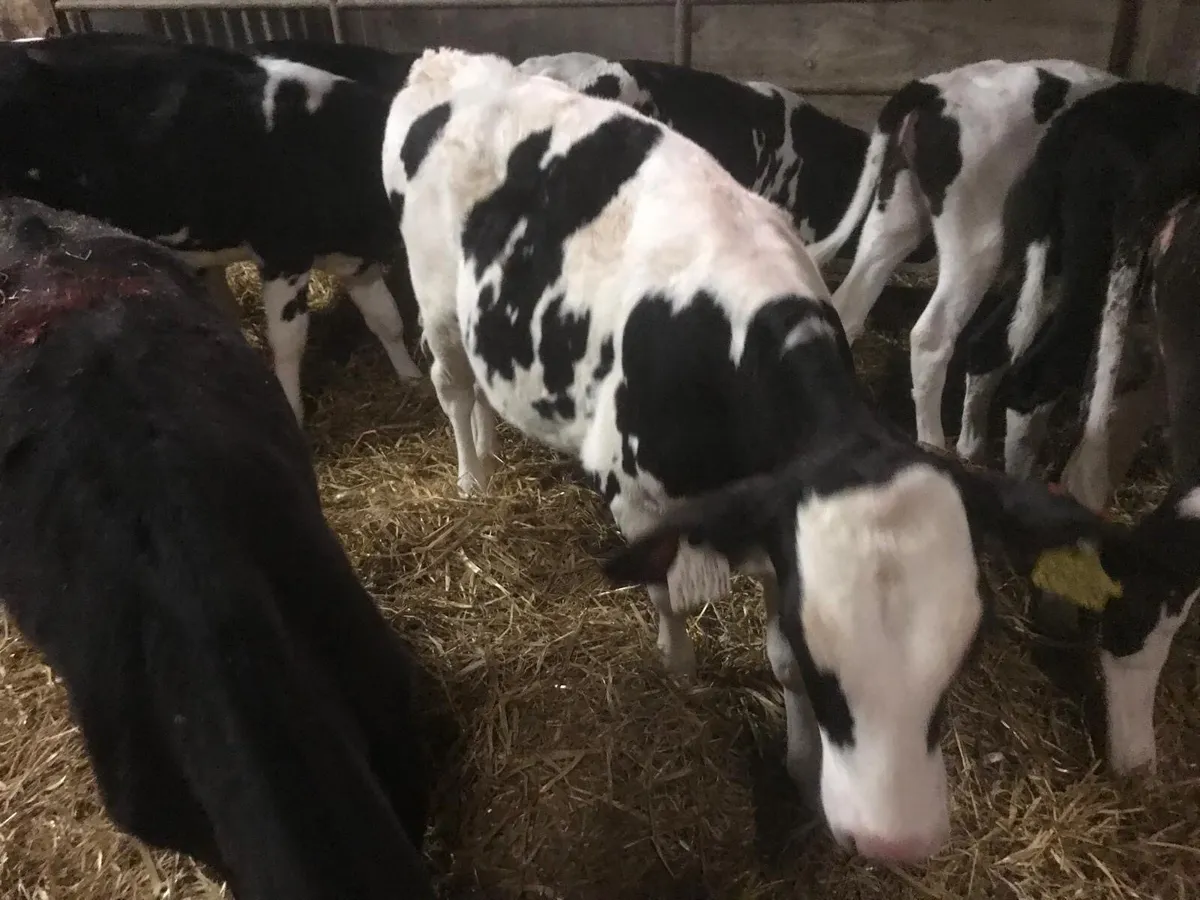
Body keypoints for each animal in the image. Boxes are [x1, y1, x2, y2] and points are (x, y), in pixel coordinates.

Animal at [0, 31, 423, 423]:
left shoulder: (354, 256)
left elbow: (386, 319)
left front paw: (411, 378)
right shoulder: (284, 254)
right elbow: (289, 341)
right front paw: (293, 412)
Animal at [805, 59, 1119, 460]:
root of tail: (935, 88)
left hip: (897, 211)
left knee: (848, 306)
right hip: (977, 236)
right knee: (931, 336)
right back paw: (935, 444)